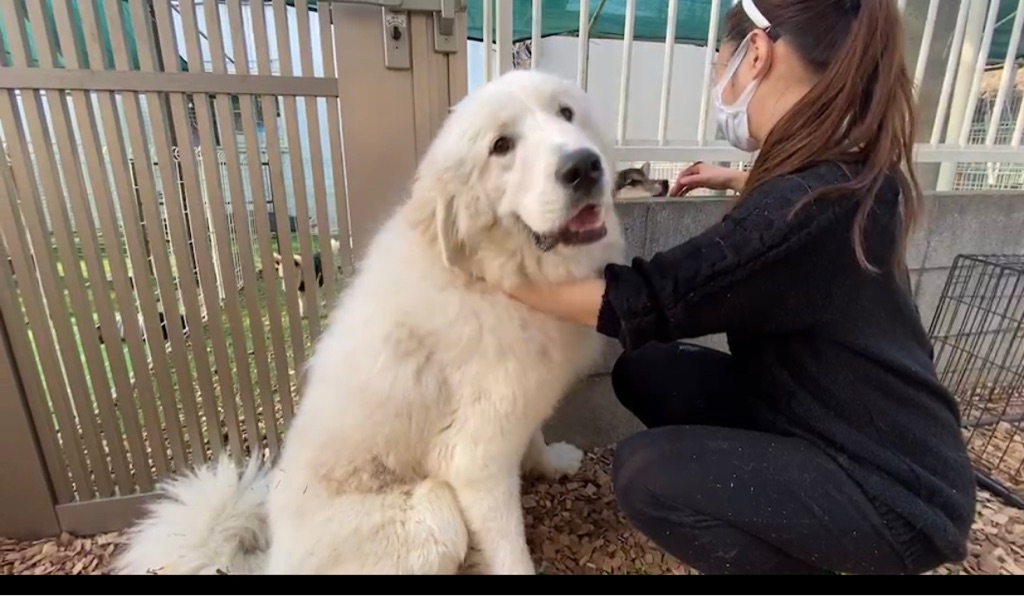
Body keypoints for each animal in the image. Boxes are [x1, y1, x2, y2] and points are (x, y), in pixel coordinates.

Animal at [112, 69, 626, 576]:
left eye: (566, 113)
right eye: (501, 145)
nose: (584, 167)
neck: (485, 275)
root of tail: (273, 566)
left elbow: (534, 435)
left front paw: (552, 461)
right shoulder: (475, 463)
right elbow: (510, 553)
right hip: (435, 515)